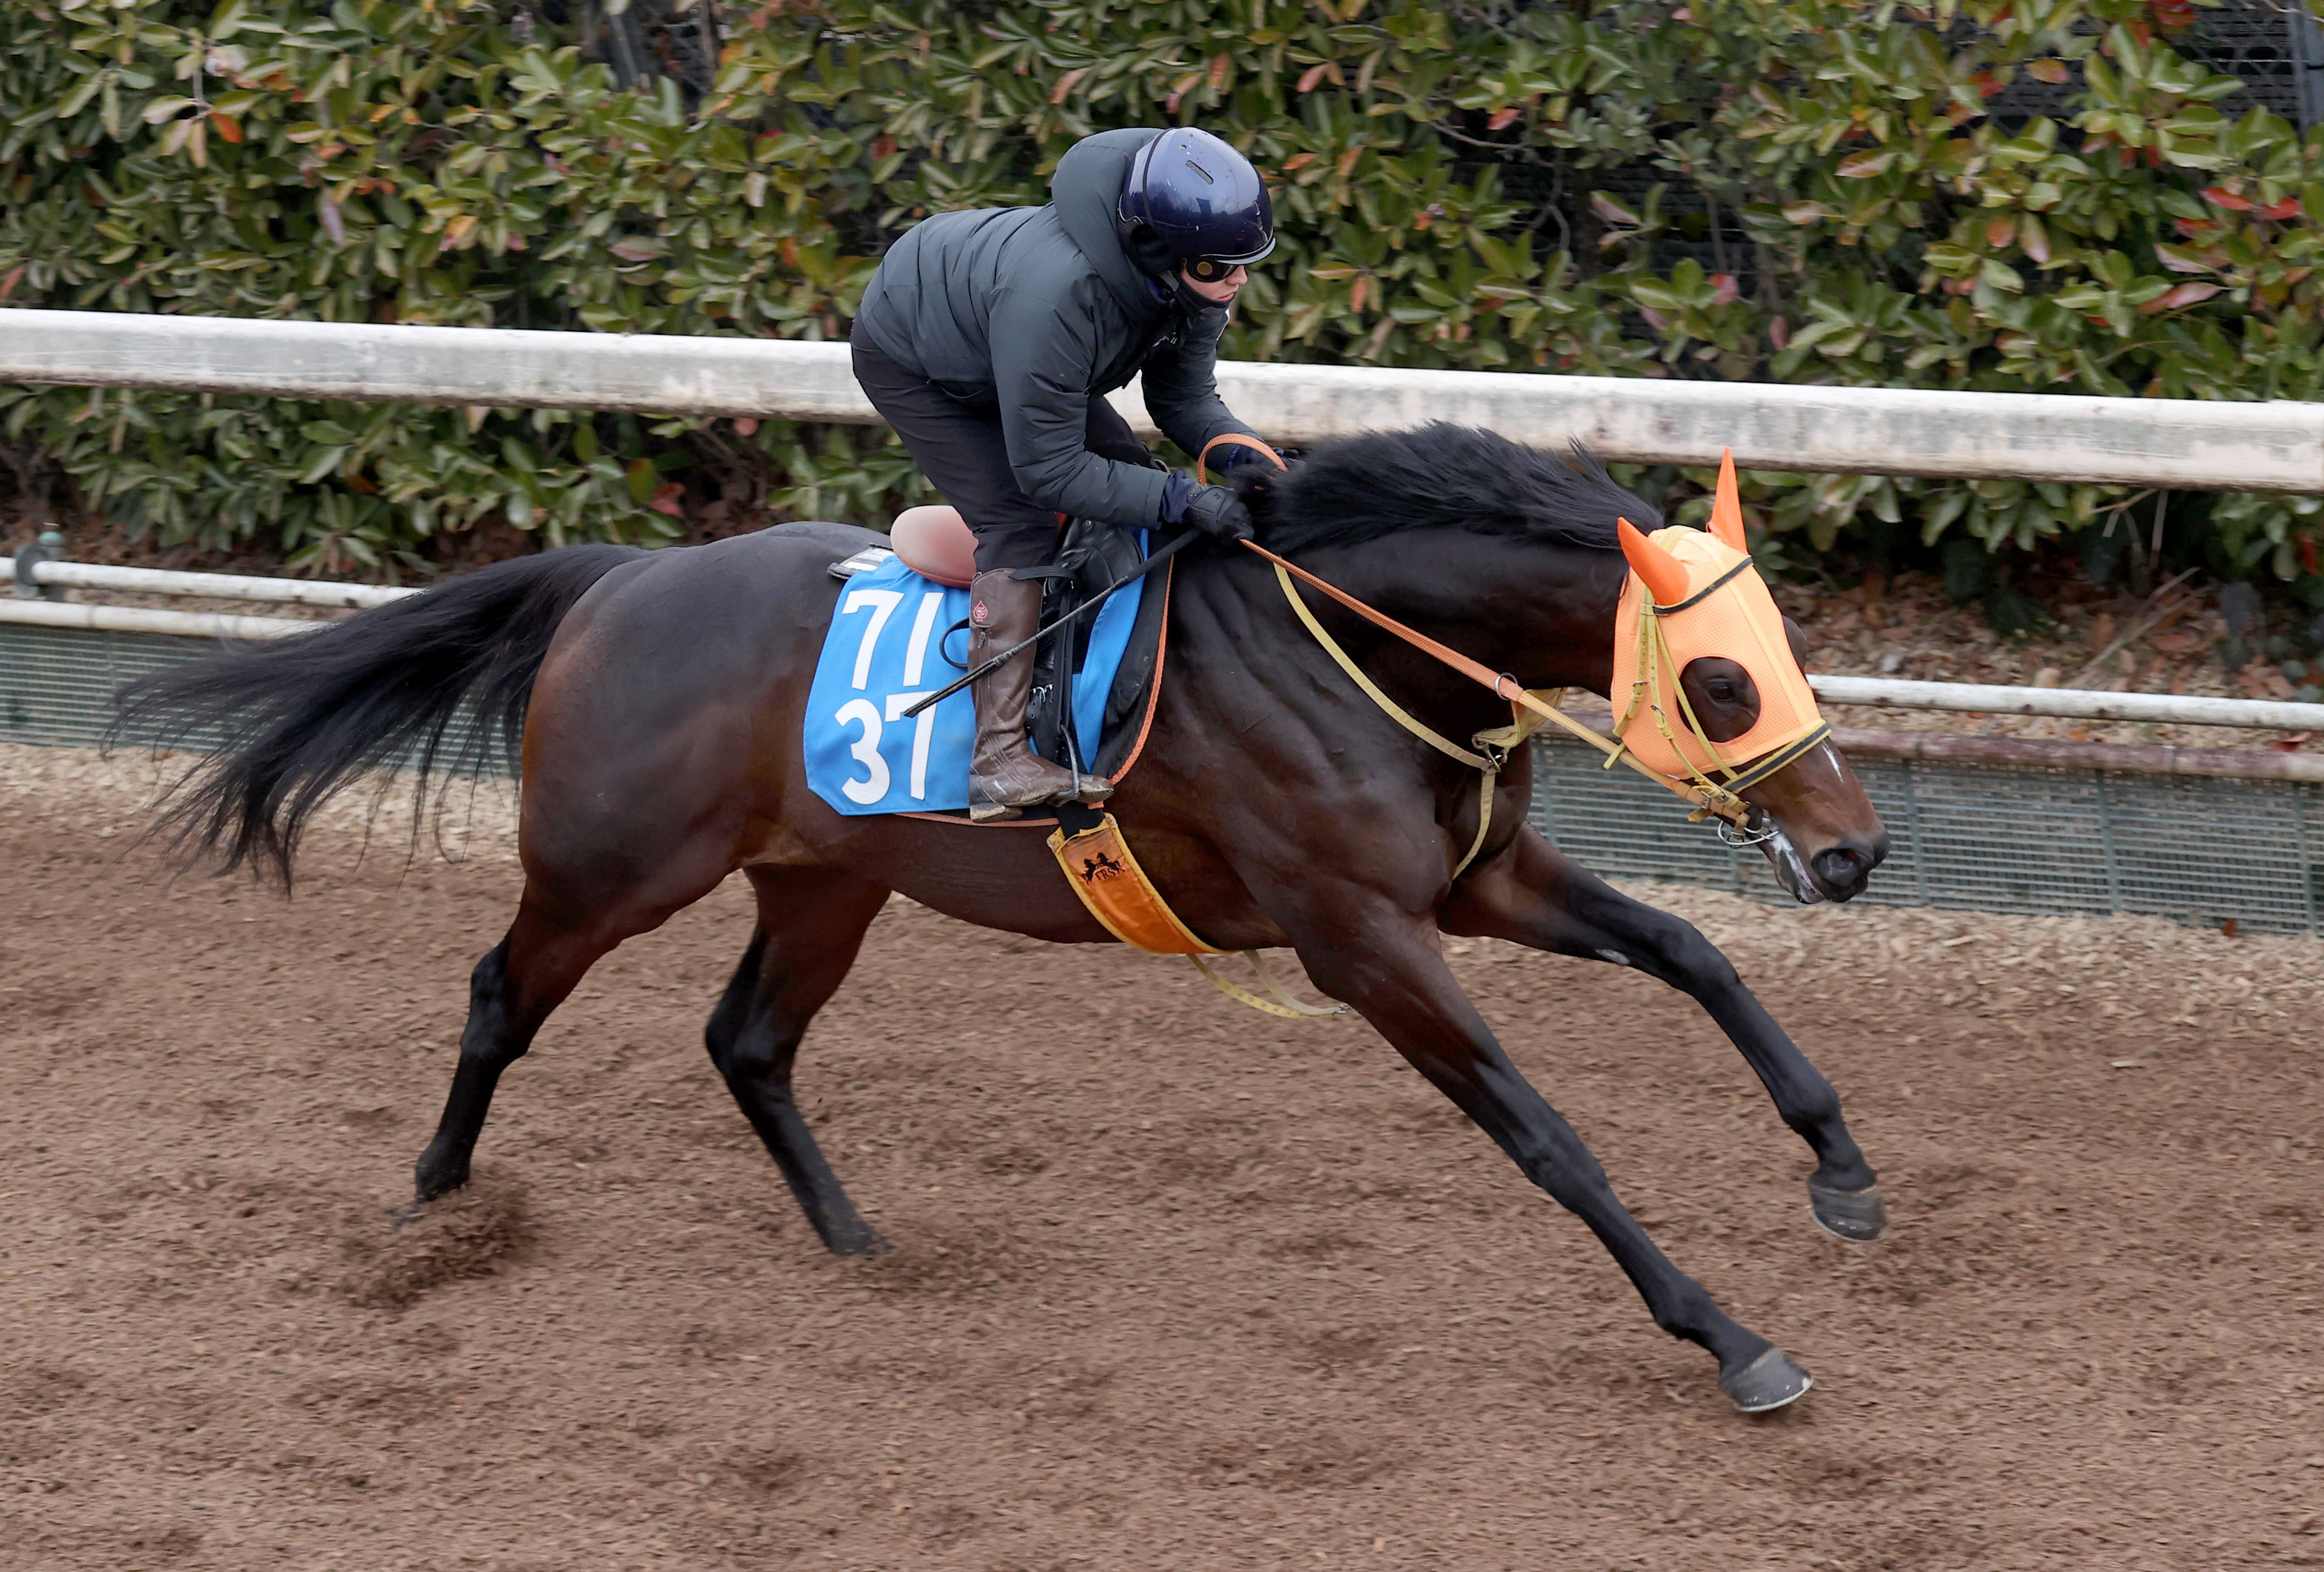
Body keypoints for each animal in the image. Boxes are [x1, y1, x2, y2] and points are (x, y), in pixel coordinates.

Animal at [118, 421, 1887, 1414]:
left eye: (1786, 650)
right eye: (1720, 680)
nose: (1854, 852)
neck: (1347, 645)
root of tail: (618, 580)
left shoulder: (1476, 885)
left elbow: (1693, 955)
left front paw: (1844, 1174)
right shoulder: (1360, 938)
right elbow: (1547, 1136)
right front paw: (1733, 1340)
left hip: (827, 879)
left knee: (747, 1040)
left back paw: (855, 1237)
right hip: (613, 868)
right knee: (501, 991)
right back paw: (435, 1202)